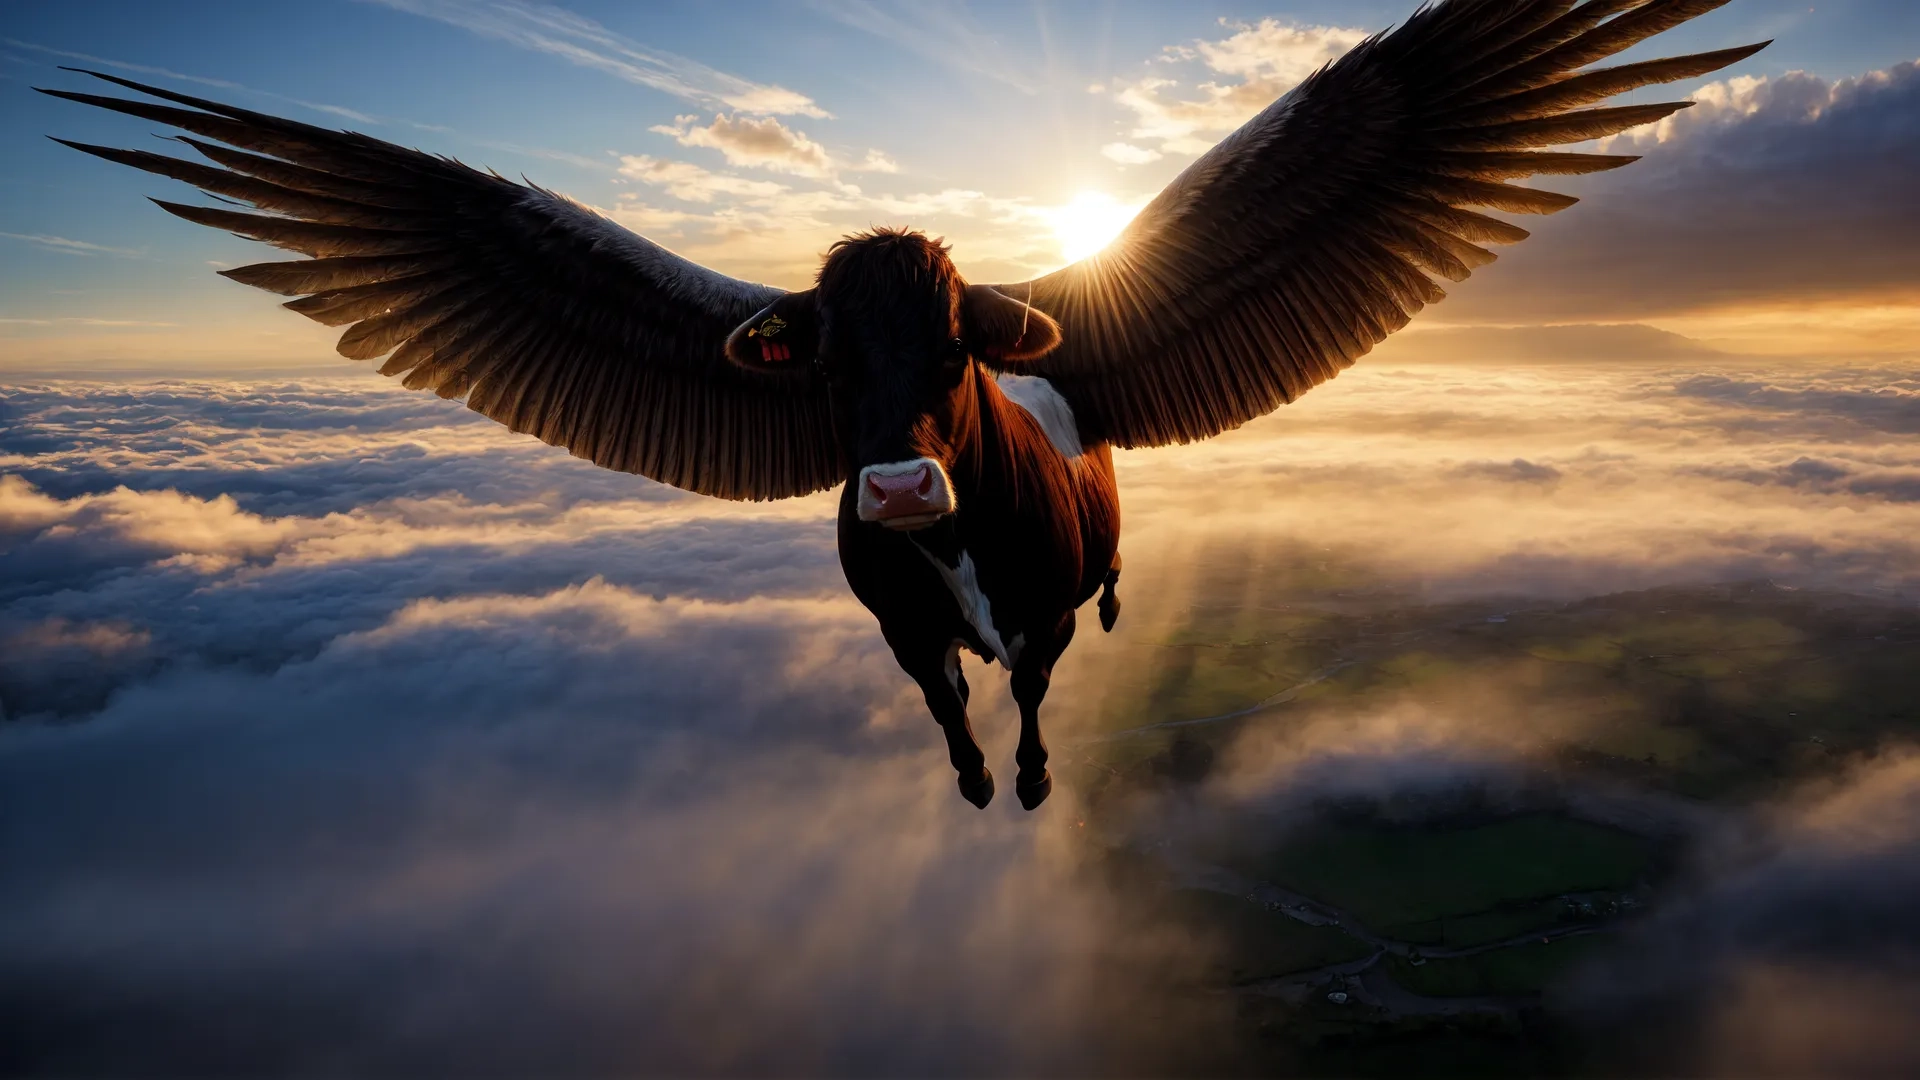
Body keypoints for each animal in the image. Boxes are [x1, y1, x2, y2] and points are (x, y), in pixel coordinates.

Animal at [45, 0, 1758, 803]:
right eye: (824, 366)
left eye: (955, 357)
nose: (899, 490)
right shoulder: (892, 620)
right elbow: (942, 700)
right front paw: (976, 778)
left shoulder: (1038, 602)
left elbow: (1042, 682)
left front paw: (1037, 773)